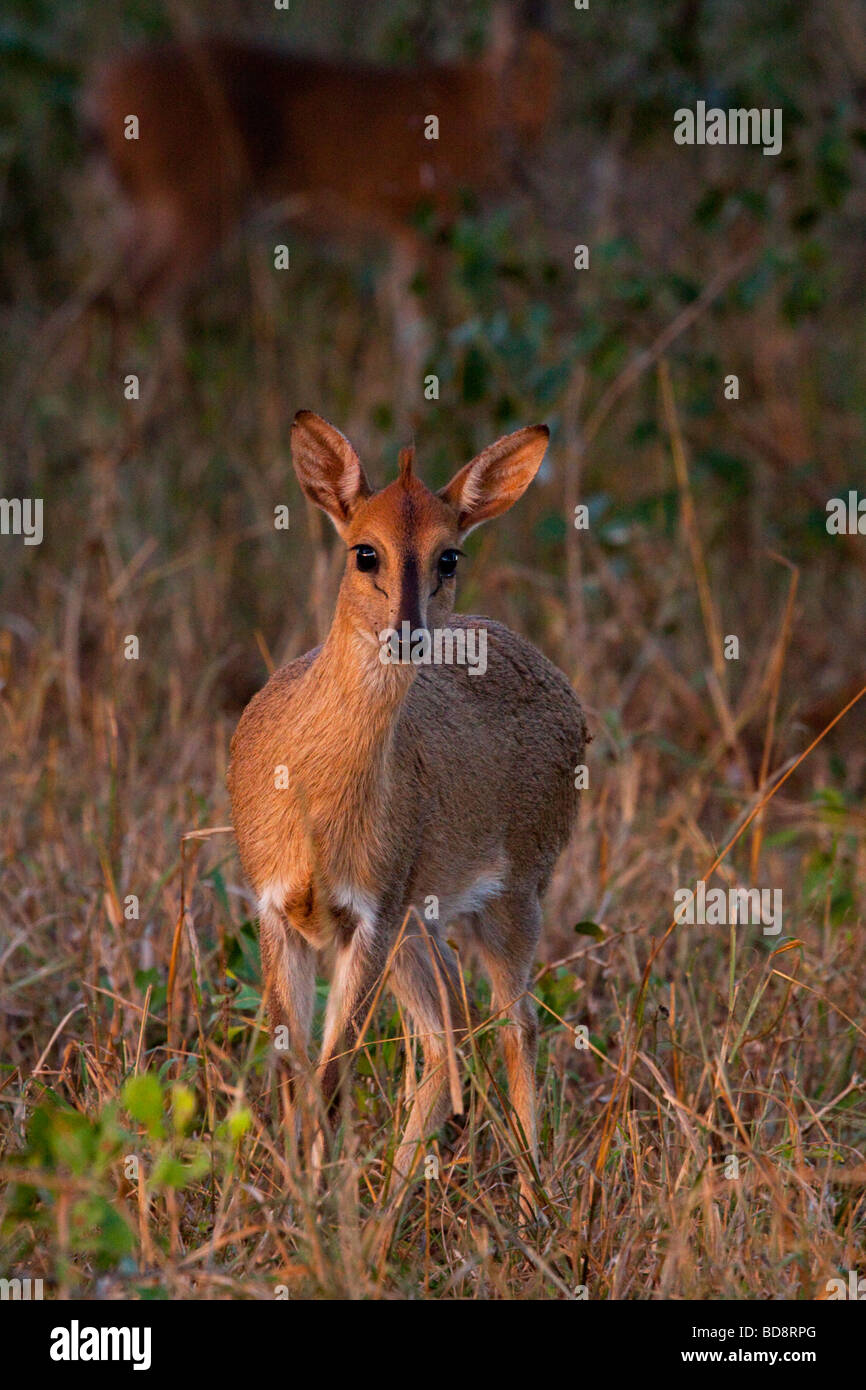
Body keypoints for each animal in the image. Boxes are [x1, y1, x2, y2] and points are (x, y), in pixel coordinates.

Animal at [229, 411, 589, 1217]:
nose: (407, 630)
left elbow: (331, 1080)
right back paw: (391, 1206)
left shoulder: (372, 914)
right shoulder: (279, 912)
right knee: (444, 1038)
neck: (314, 801)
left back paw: (534, 1201)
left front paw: (313, 1216)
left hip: (511, 899)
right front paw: (299, 1207)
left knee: (514, 1028)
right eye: (365, 550)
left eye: (449, 554)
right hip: (423, 931)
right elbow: (294, 1075)